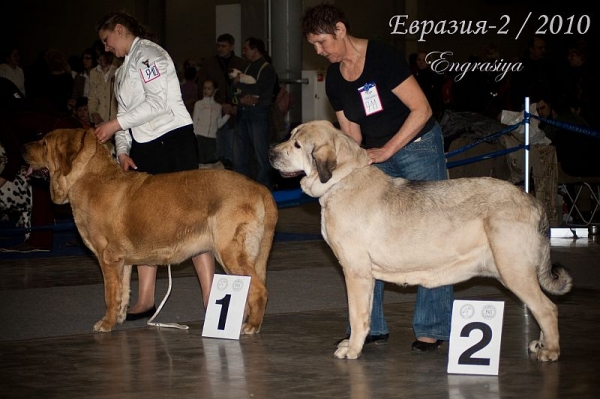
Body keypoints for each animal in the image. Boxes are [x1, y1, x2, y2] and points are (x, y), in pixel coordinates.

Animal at [22, 129, 276, 334]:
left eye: (44, 142)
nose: (23, 148)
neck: (85, 177)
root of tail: (261, 188)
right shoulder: (122, 262)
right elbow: (122, 292)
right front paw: (119, 318)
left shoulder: (108, 257)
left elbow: (109, 294)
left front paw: (106, 323)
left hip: (229, 251)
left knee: (260, 290)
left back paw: (251, 326)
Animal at [270, 119, 572, 362]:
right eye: (290, 137)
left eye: (297, 145)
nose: (271, 153)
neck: (342, 180)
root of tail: (533, 202)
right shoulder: (367, 276)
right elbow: (366, 314)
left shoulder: (355, 272)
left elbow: (356, 316)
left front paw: (352, 350)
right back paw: (542, 344)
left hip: (514, 271)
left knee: (547, 309)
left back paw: (550, 351)